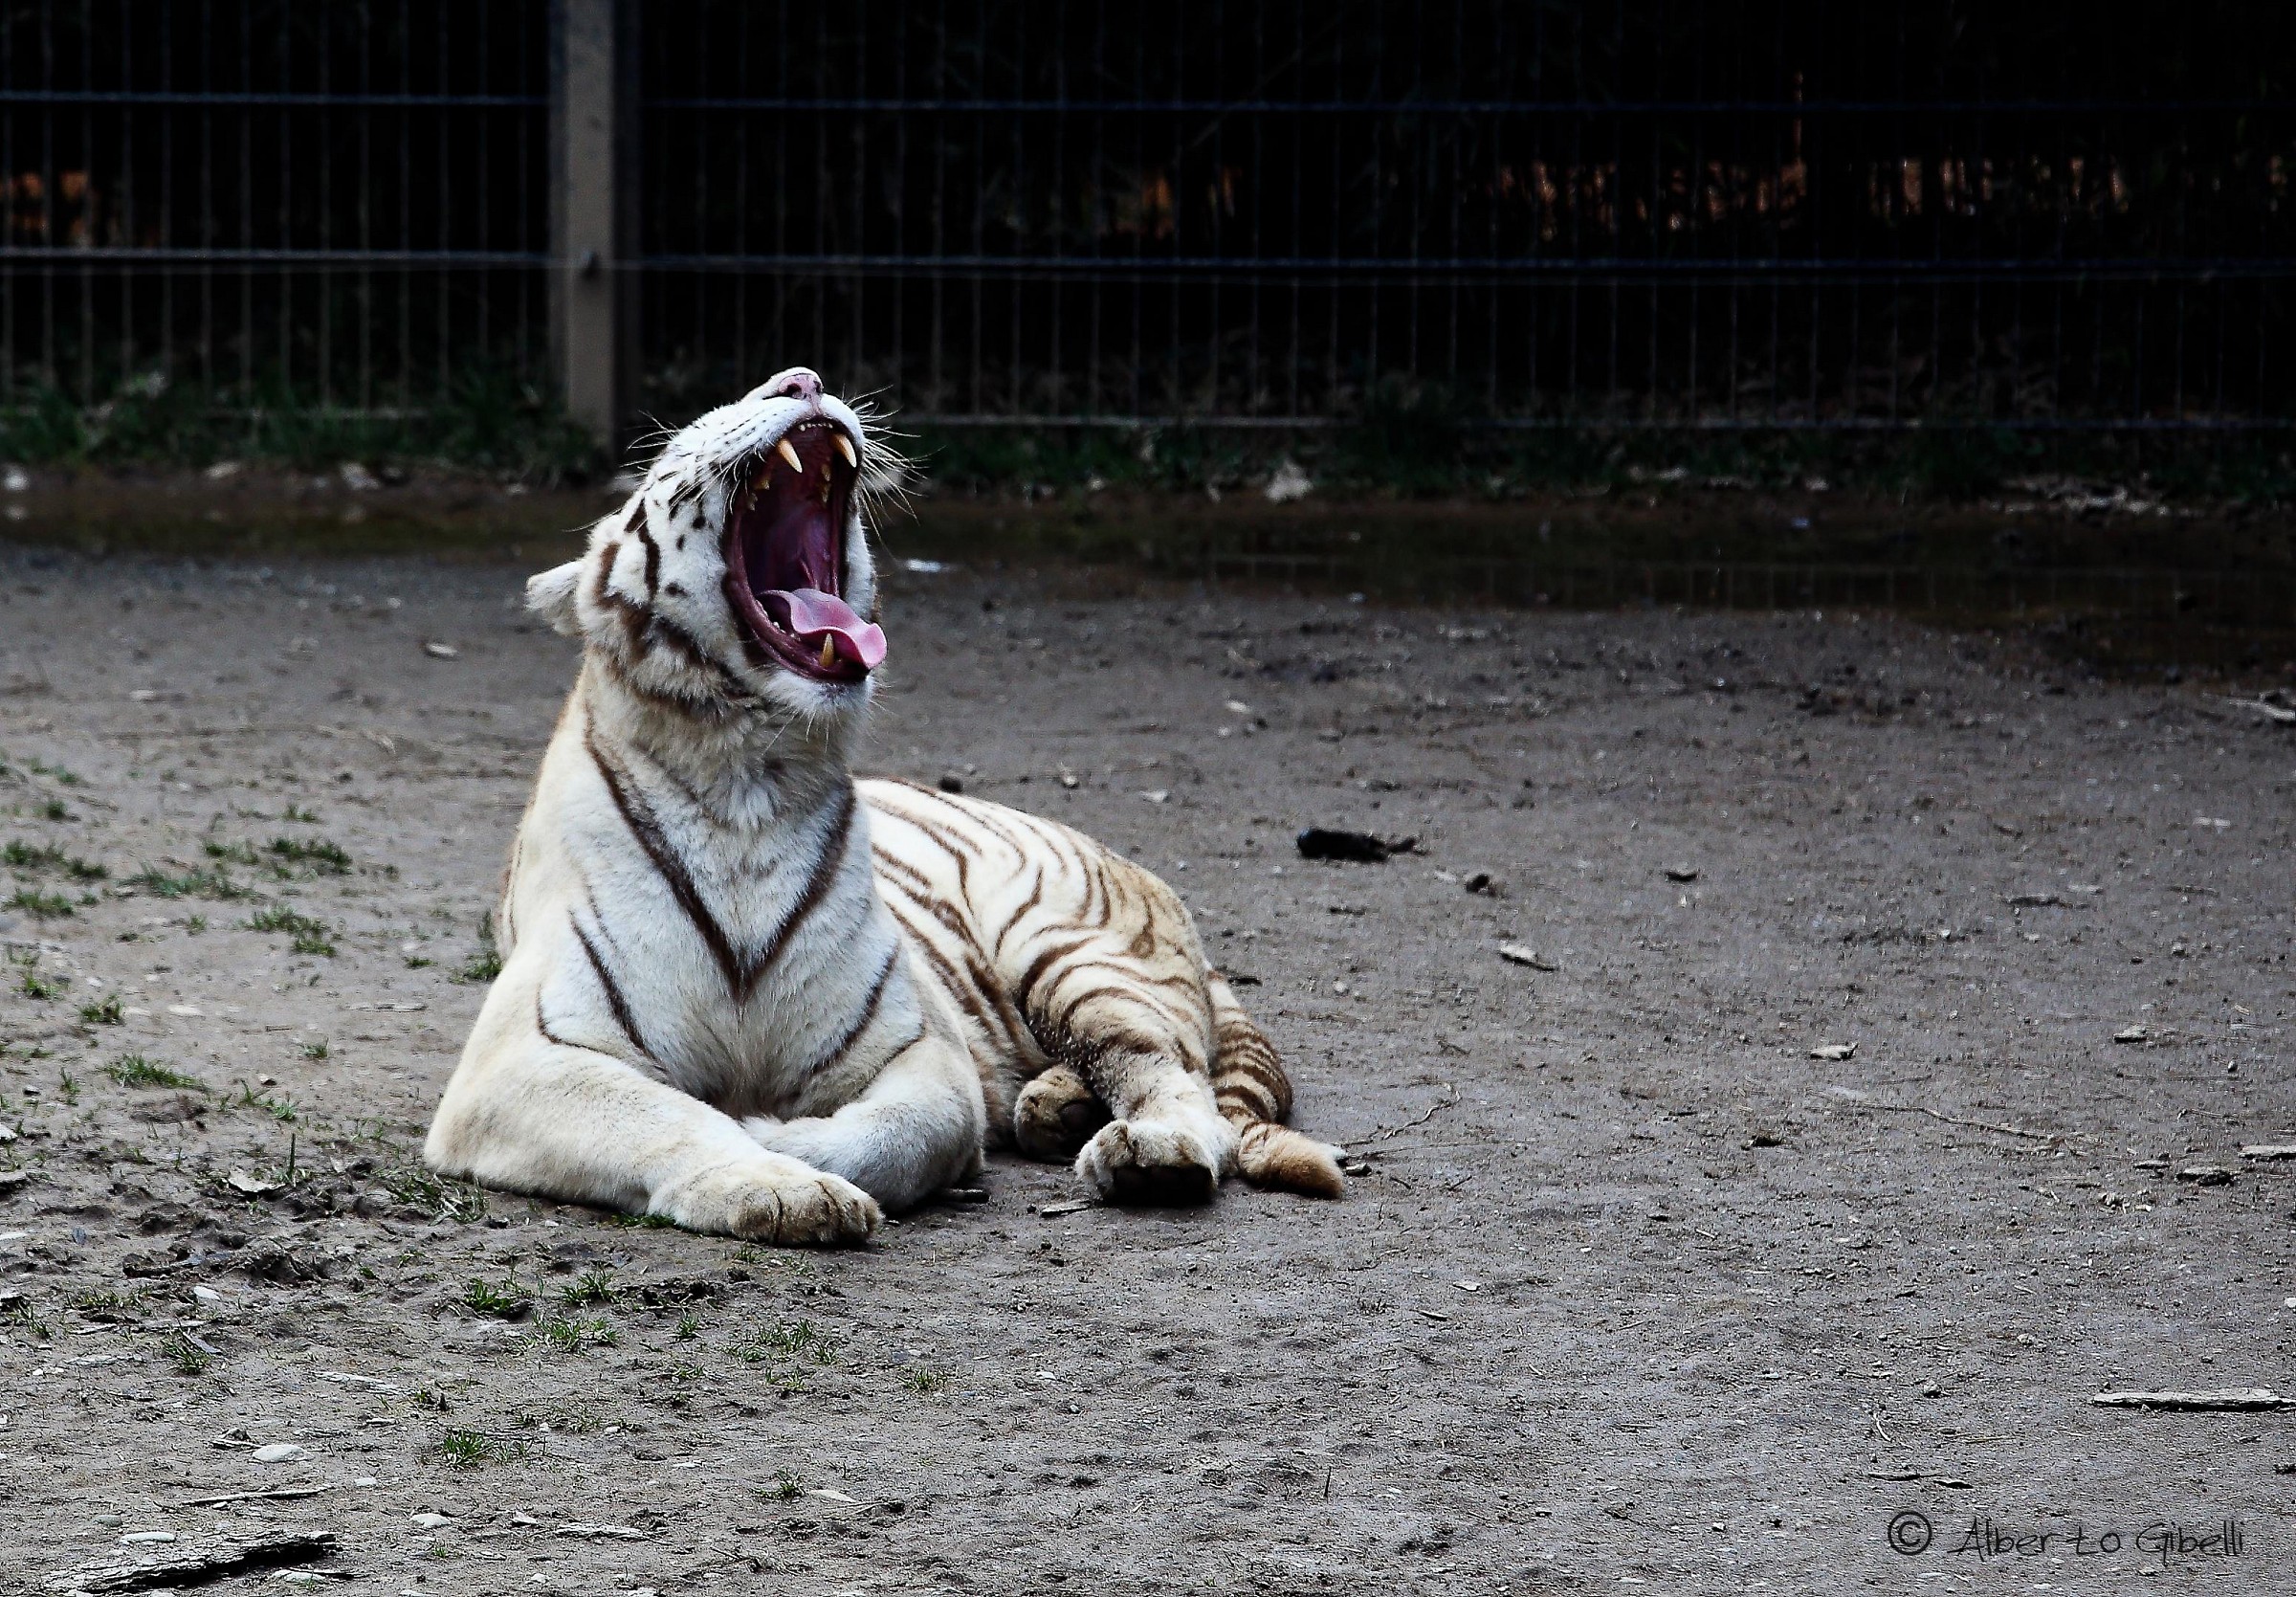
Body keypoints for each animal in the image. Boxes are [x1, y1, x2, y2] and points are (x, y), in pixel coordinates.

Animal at [423, 366, 1343, 1244]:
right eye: (679, 445)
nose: (800, 381)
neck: (747, 783)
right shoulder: (516, 1062)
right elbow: (664, 1117)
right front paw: (775, 1187)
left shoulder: (920, 1048)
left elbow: (899, 1133)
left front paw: (786, 1148)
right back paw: (1057, 1106)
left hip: (1070, 953)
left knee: (1173, 1077)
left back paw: (1149, 1149)